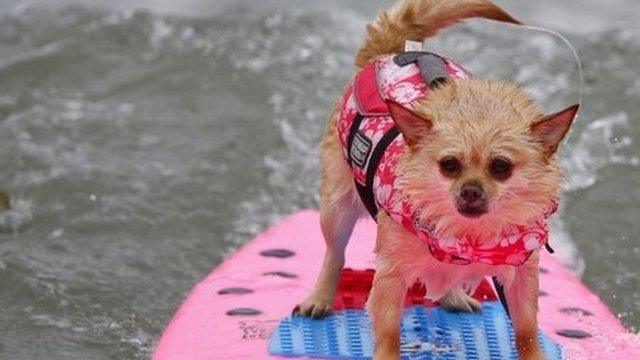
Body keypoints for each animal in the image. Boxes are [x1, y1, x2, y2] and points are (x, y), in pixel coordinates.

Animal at [296, 1, 580, 358]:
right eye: (449, 165)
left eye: (501, 167)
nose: (470, 191)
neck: (466, 237)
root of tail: (390, 52)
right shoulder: (390, 276)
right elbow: (388, 332)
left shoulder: (522, 275)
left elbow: (527, 329)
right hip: (337, 206)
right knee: (335, 254)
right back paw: (319, 297)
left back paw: (454, 296)